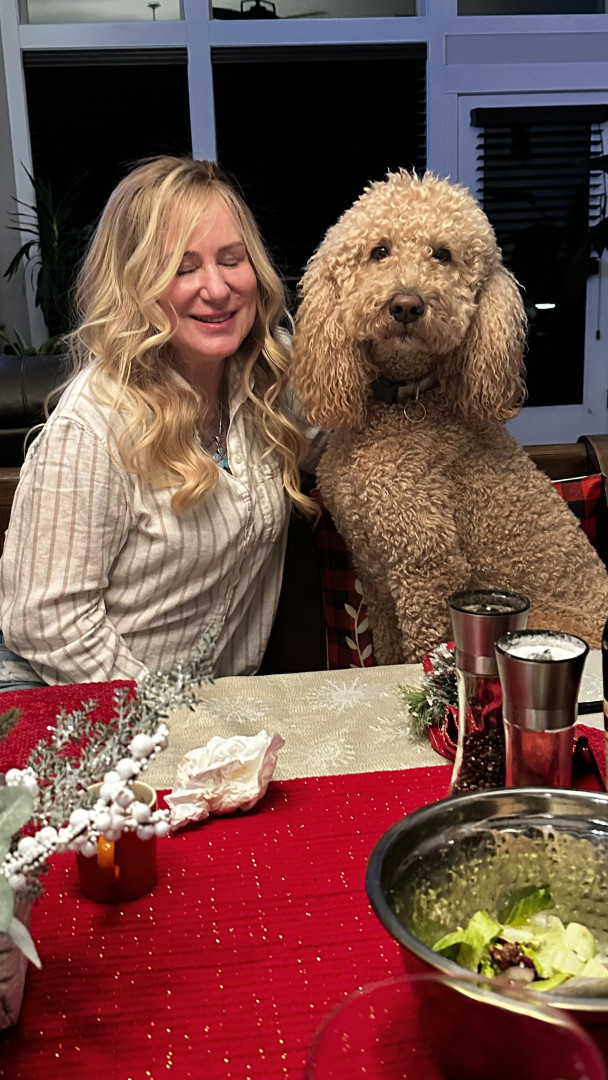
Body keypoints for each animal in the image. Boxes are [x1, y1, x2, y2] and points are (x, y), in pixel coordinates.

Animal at [290, 170, 608, 664]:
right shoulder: (375, 579)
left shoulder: (427, 568)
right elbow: (387, 650)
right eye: (379, 251)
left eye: (442, 254)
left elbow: (420, 647)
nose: (406, 304)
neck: (398, 404)